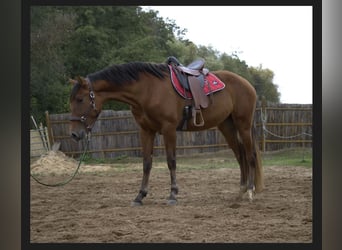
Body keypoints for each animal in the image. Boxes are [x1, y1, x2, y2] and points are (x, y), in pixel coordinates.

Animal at [68, 59, 264, 205]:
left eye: (80, 99)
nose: (75, 134)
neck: (147, 90)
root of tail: (247, 84)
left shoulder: (169, 129)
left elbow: (171, 161)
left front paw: (173, 195)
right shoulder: (146, 131)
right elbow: (147, 163)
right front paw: (140, 196)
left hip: (243, 125)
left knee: (250, 155)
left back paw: (250, 191)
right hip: (227, 126)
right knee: (240, 155)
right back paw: (240, 192)